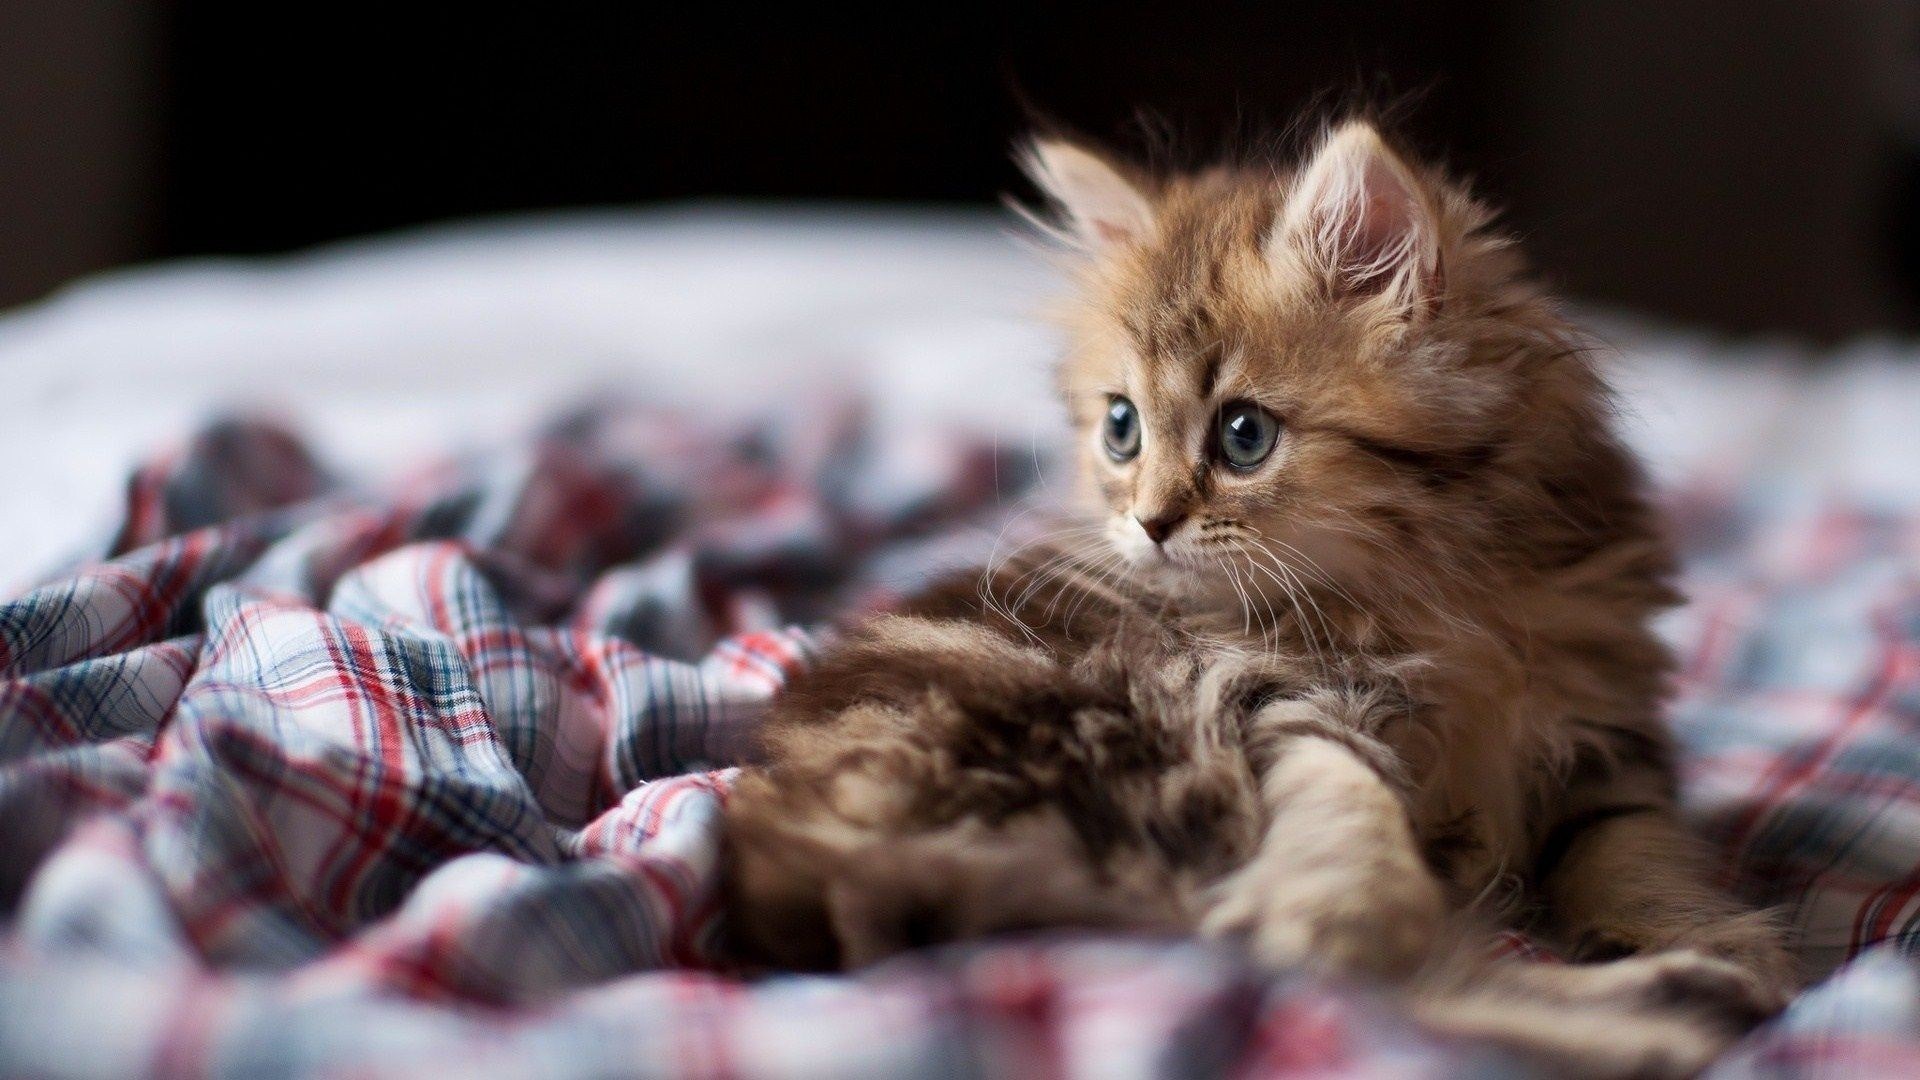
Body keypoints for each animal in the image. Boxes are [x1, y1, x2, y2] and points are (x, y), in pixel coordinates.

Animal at [721, 122, 1797, 1068]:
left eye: (1244, 436)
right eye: (1121, 428)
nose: (1149, 523)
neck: (1438, 589)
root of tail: (801, 858)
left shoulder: (1604, 724)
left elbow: (1633, 847)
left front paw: (1712, 937)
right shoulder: (1271, 690)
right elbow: (1347, 809)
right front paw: (1347, 909)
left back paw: (1691, 995)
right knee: (1343, 981)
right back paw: (1659, 1018)